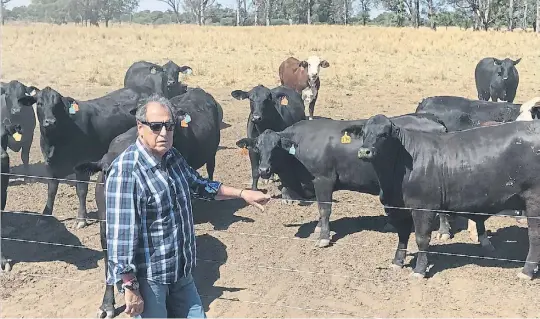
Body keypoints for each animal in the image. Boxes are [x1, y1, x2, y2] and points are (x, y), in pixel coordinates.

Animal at [17, 85, 156, 230]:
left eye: (57, 105)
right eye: (39, 103)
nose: (50, 122)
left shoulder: (81, 166)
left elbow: (81, 191)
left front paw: (81, 219)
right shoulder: (50, 166)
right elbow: (51, 191)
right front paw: (45, 216)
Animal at [236, 114, 448, 249]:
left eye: (276, 147)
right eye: (258, 147)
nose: (264, 170)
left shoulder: (323, 180)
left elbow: (324, 208)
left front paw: (323, 237)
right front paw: (319, 228)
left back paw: (444, 230)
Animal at [354, 114, 540, 280]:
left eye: (384, 134)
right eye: (363, 133)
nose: (364, 151)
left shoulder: (423, 207)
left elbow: (422, 239)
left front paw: (419, 270)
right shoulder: (398, 208)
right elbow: (402, 235)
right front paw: (397, 262)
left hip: (534, 201)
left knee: (534, 236)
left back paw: (526, 272)